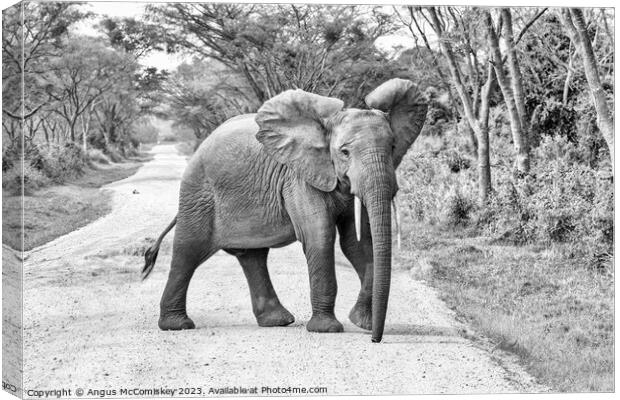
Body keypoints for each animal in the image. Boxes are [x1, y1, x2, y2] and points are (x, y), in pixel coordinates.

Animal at [143, 79, 428, 344]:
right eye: (344, 152)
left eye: (393, 147)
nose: (375, 339)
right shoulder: (298, 178)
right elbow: (320, 237)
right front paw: (327, 329)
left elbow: (357, 244)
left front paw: (362, 322)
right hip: (198, 192)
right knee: (188, 250)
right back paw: (177, 325)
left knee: (252, 256)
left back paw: (277, 321)